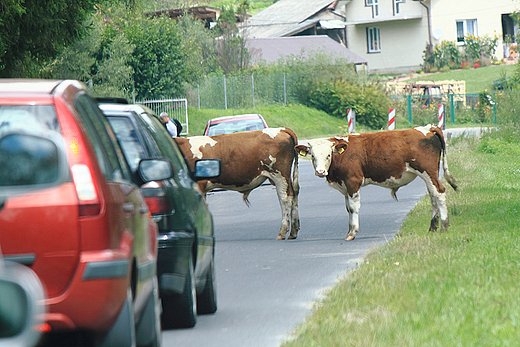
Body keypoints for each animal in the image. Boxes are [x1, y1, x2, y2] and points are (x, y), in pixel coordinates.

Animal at [294, 125, 458, 242]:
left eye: (328, 155)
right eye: (312, 156)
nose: (321, 172)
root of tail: (428, 128)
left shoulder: (352, 181)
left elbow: (353, 207)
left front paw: (352, 233)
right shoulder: (345, 186)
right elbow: (348, 208)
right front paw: (349, 230)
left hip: (428, 171)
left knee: (439, 192)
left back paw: (444, 225)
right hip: (430, 174)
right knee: (432, 195)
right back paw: (433, 227)